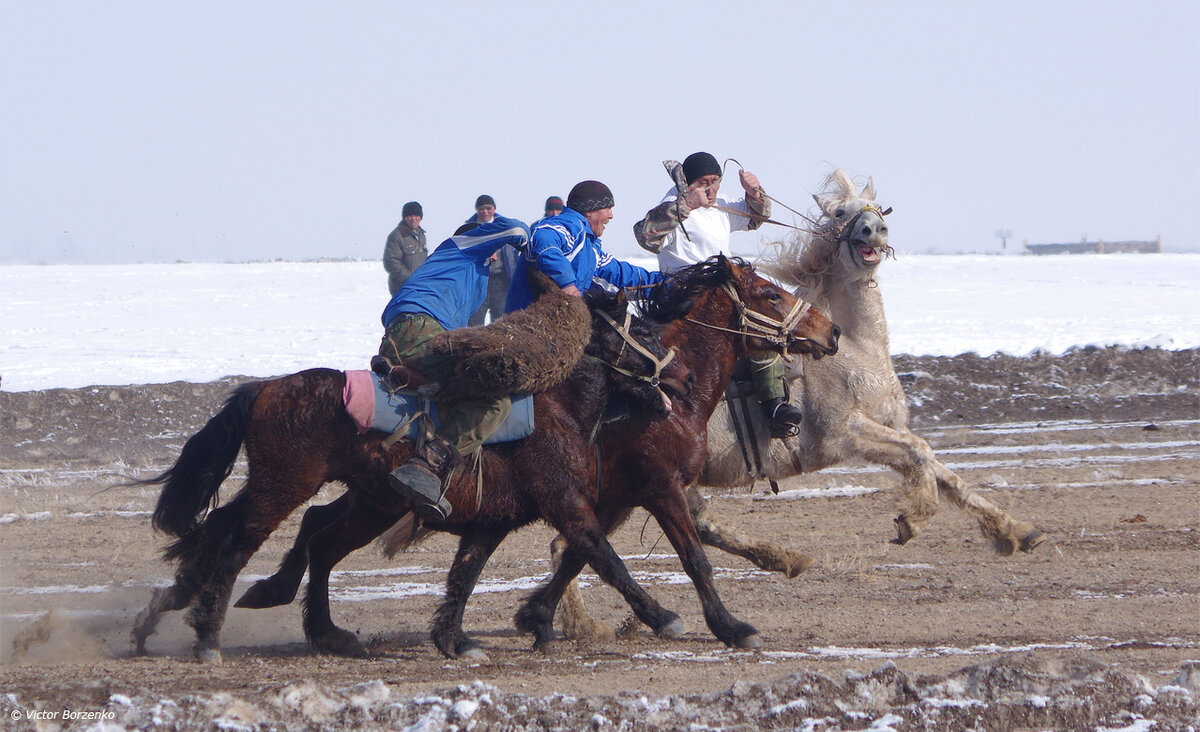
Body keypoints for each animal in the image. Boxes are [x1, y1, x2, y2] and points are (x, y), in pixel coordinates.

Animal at [131, 286, 691, 662]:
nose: (683, 379)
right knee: (235, 545)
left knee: (283, 539)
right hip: (282, 487)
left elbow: (464, 576)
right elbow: (606, 558)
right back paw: (207, 636)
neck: (558, 406)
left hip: (358, 500)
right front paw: (666, 618)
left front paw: (454, 640)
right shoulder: (567, 504)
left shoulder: (492, 521)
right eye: (640, 332)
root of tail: (267, 387)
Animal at [243, 256, 840, 657]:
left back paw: (287, 600)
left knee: (318, 528)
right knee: (317, 531)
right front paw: (728, 627)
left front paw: (535, 617)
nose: (830, 330)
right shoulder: (657, 488)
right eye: (767, 294)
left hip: (373, 500)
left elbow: (576, 553)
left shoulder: (609, 497)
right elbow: (689, 557)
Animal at [556, 169, 1046, 638]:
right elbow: (920, 456)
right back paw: (585, 625)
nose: (873, 229)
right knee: (571, 542)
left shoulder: (890, 428)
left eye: (875, 205)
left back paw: (781, 561)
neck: (857, 352)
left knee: (674, 529)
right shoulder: (846, 435)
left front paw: (1017, 533)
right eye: (840, 212)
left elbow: (946, 475)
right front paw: (912, 520)